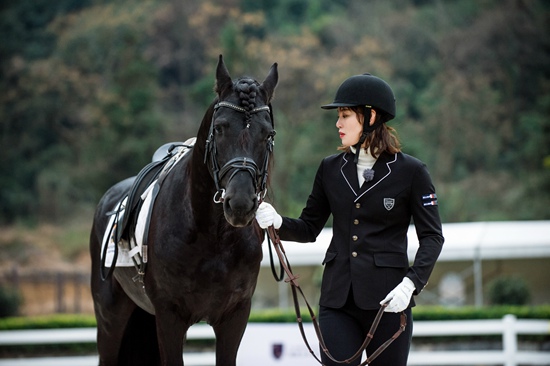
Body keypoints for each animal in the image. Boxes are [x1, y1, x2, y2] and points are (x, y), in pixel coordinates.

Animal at [91, 55, 280, 366]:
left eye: (268, 134)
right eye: (220, 128)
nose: (240, 203)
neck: (212, 236)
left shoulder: (235, 316)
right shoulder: (170, 317)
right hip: (109, 317)